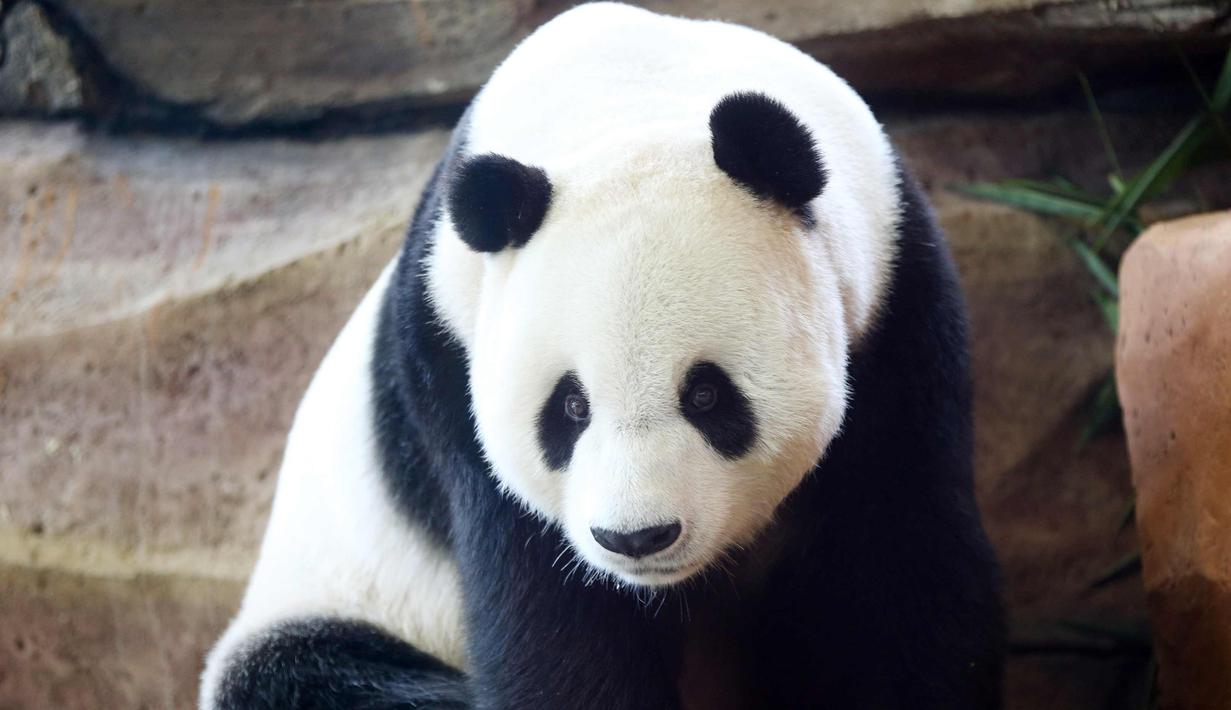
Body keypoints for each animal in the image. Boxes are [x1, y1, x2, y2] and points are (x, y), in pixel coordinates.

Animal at [200, 3, 1004, 709]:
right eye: (569, 407)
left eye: (706, 395)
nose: (637, 537)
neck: (631, 101)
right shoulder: (453, 362)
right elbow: (553, 626)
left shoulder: (896, 307)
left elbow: (895, 578)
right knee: (303, 677)